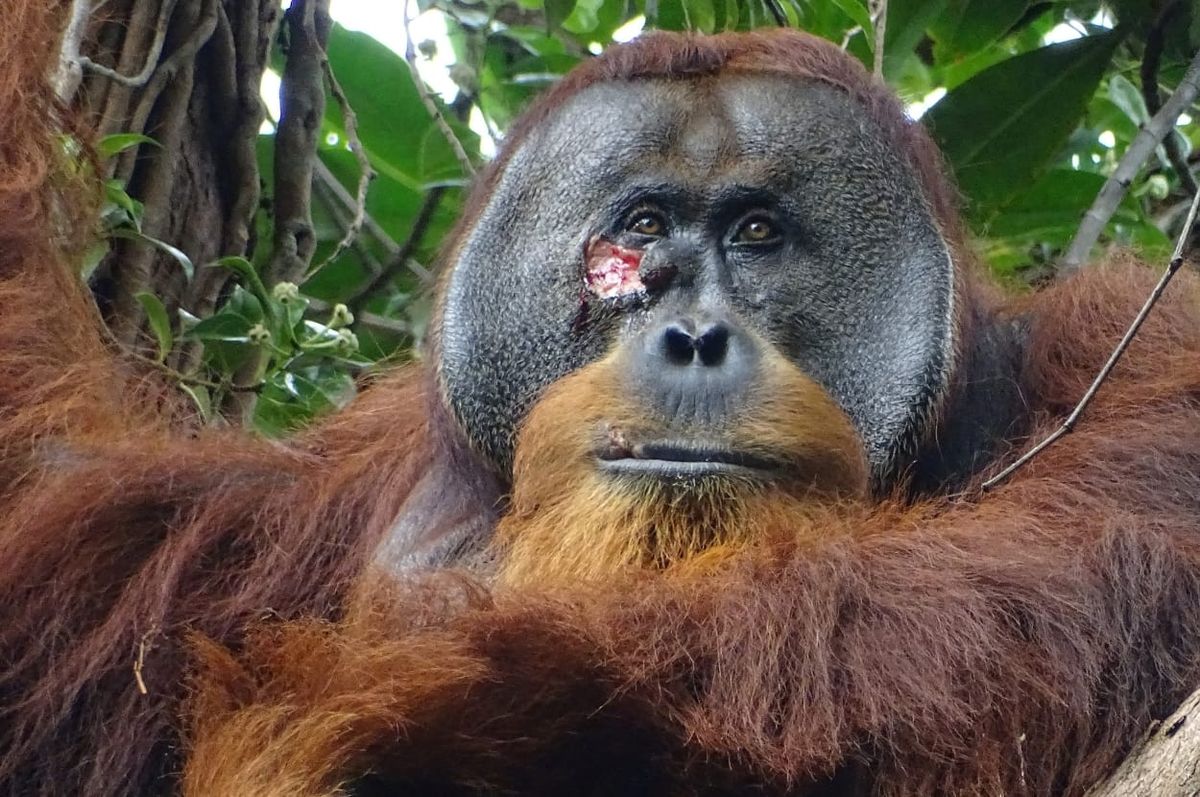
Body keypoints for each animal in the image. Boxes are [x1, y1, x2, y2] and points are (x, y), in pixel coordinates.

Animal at [2, 9, 1200, 796]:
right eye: (642, 229)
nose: (694, 336)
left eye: (756, 232)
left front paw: (383, 715)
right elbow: (56, 500)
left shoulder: (1124, 350)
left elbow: (1068, 564)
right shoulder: (285, 510)